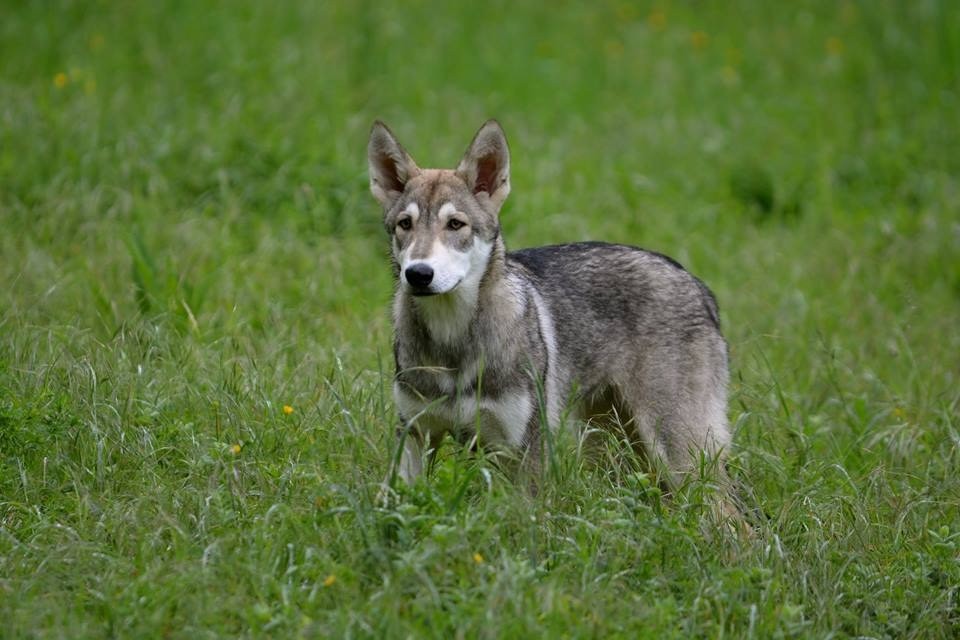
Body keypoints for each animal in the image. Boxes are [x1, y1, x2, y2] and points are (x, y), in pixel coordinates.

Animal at [368, 121, 736, 504]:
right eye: (405, 225)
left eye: (455, 224)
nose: (418, 274)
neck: (452, 339)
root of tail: (696, 284)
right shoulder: (414, 436)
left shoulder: (526, 452)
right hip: (612, 448)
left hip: (678, 454)